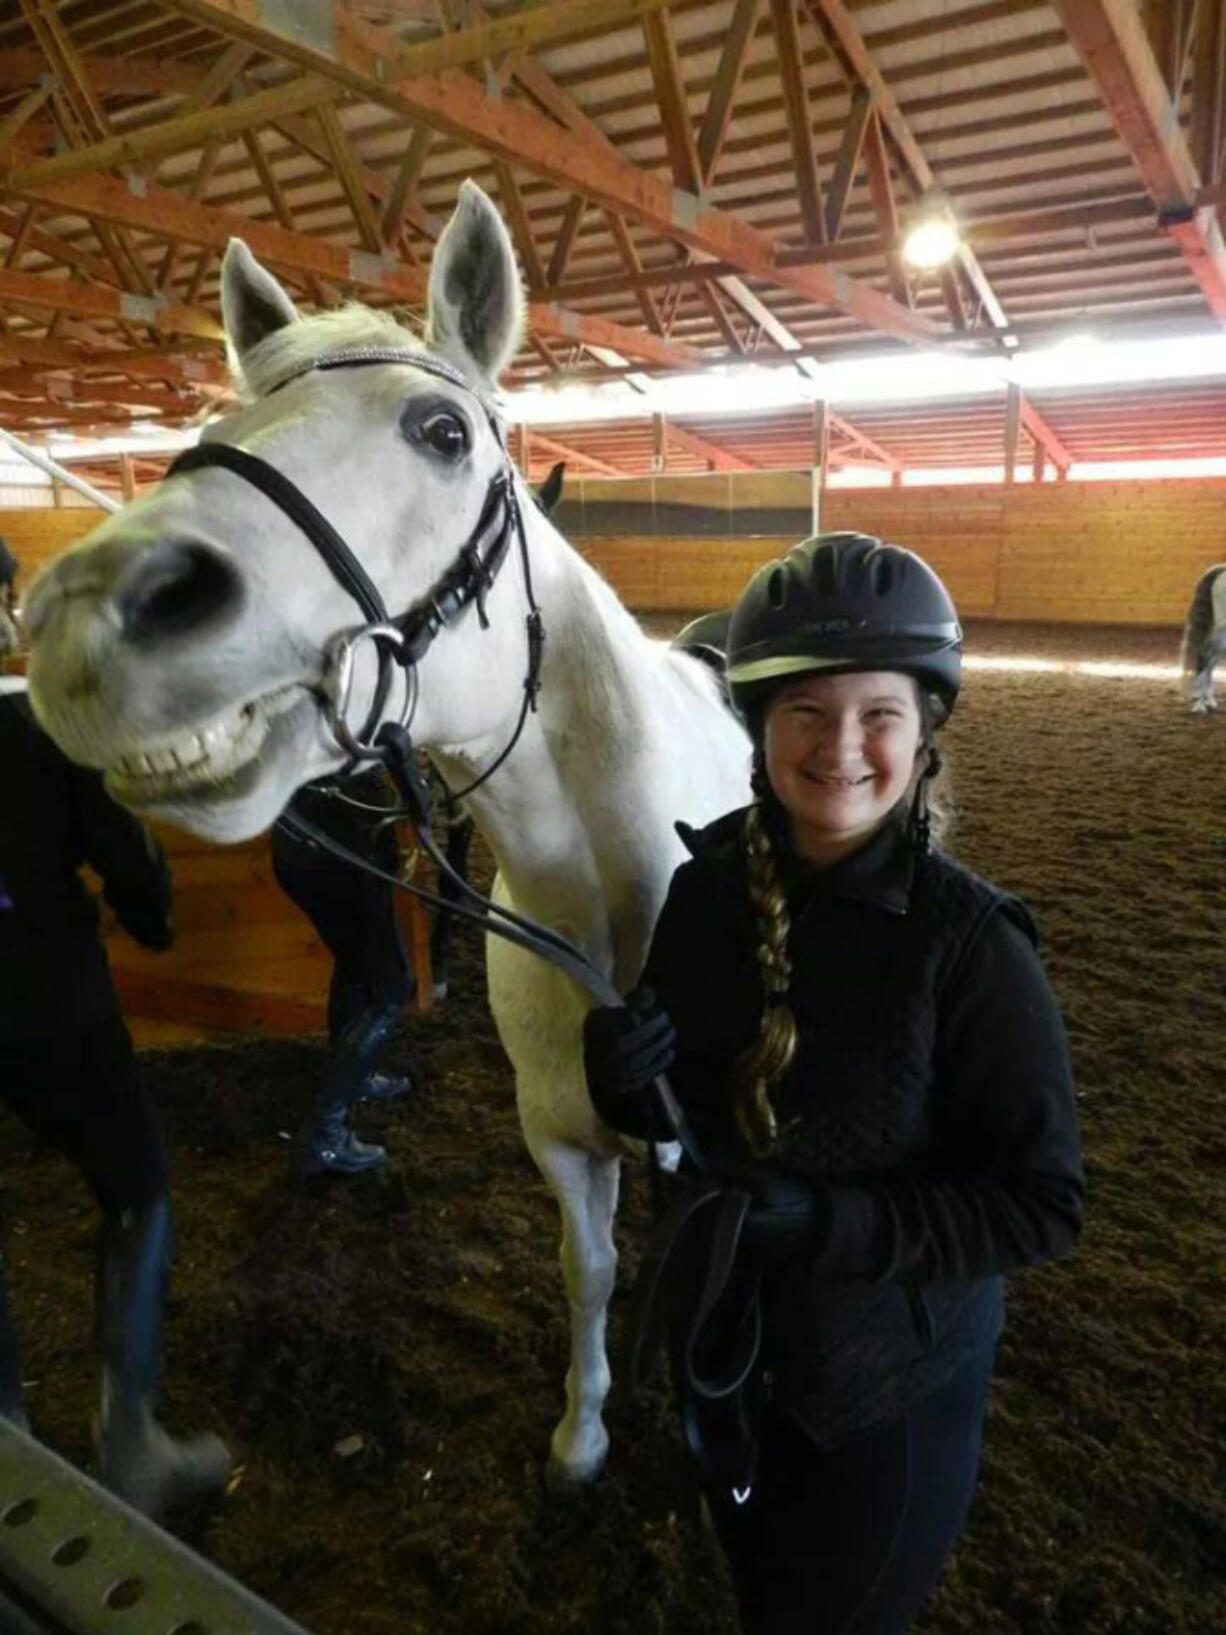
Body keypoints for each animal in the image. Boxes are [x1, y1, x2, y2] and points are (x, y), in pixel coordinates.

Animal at [24, 185, 755, 1491]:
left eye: (442, 431)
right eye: (218, 421)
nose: (87, 618)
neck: (607, 906)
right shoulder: (557, 1139)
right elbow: (590, 1271)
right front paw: (581, 1435)